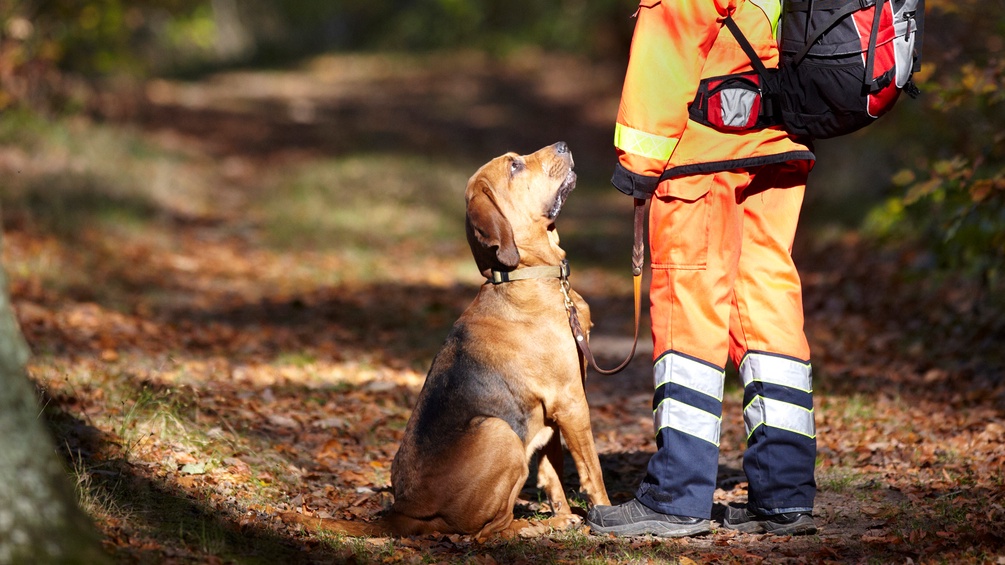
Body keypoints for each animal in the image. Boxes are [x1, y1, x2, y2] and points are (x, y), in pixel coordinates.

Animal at [287, 140, 607, 534]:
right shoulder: (571, 401)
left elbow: (553, 475)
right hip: (499, 432)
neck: (524, 276)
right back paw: (536, 526)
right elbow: (593, 473)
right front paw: (609, 514)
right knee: (491, 531)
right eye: (514, 166)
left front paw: (563, 511)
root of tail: (401, 512)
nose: (562, 144)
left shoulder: (551, 416)